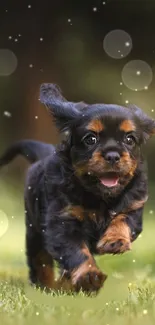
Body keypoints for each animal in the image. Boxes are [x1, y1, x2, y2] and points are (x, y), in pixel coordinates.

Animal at [0, 82, 154, 292]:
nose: (113, 155)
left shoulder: (134, 206)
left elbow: (122, 220)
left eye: (129, 139)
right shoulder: (62, 221)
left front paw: (115, 240)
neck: (99, 197)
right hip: (34, 229)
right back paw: (48, 287)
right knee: (40, 261)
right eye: (91, 139)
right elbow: (76, 251)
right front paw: (89, 276)